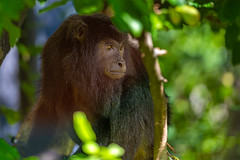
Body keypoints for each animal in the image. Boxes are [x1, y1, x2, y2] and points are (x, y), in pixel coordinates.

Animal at [15, 14, 154, 160]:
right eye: (109, 47)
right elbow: (49, 105)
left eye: (121, 48)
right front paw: (30, 149)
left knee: (132, 88)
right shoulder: (53, 53)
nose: (121, 63)